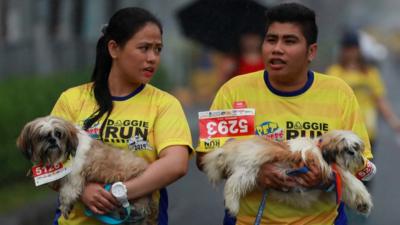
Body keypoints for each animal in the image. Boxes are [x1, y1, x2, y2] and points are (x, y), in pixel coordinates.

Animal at [17, 116, 155, 221]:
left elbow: (67, 193)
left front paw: (65, 207)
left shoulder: (74, 178)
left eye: (58, 134)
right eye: (41, 137)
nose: (52, 140)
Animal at [202, 130, 374, 216]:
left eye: (356, 148)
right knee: (232, 185)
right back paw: (231, 205)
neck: (320, 150)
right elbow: (353, 183)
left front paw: (361, 205)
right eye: (345, 148)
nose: (352, 152)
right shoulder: (331, 169)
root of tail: (230, 149)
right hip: (248, 170)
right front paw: (363, 201)